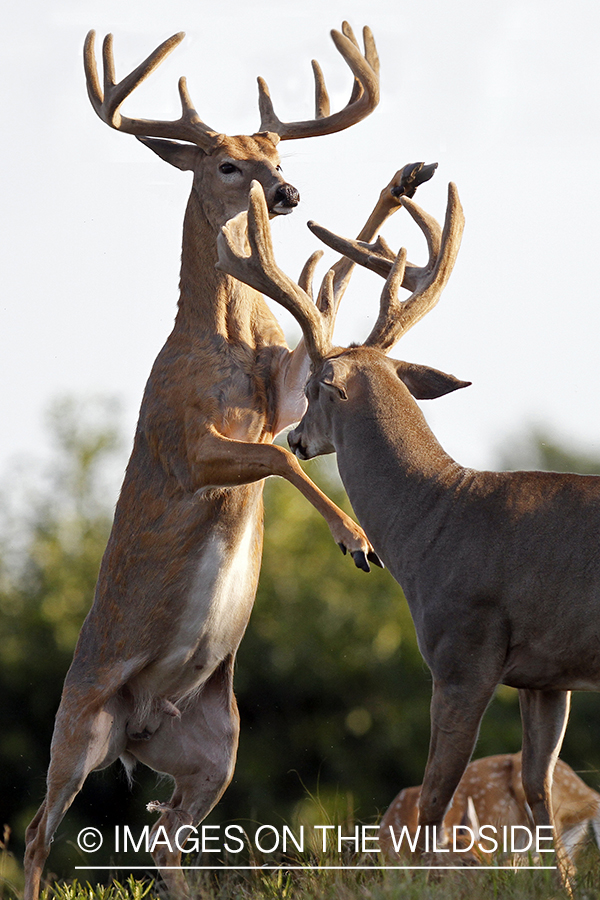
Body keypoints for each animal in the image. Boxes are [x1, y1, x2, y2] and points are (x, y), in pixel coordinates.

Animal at [21, 22, 406, 900]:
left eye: (276, 151)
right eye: (227, 164)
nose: (288, 193)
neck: (224, 340)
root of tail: (136, 726)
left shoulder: (286, 392)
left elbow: (299, 395)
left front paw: (401, 188)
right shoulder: (187, 444)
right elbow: (276, 461)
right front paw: (357, 541)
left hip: (215, 743)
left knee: (164, 831)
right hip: (77, 724)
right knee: (35, 831)